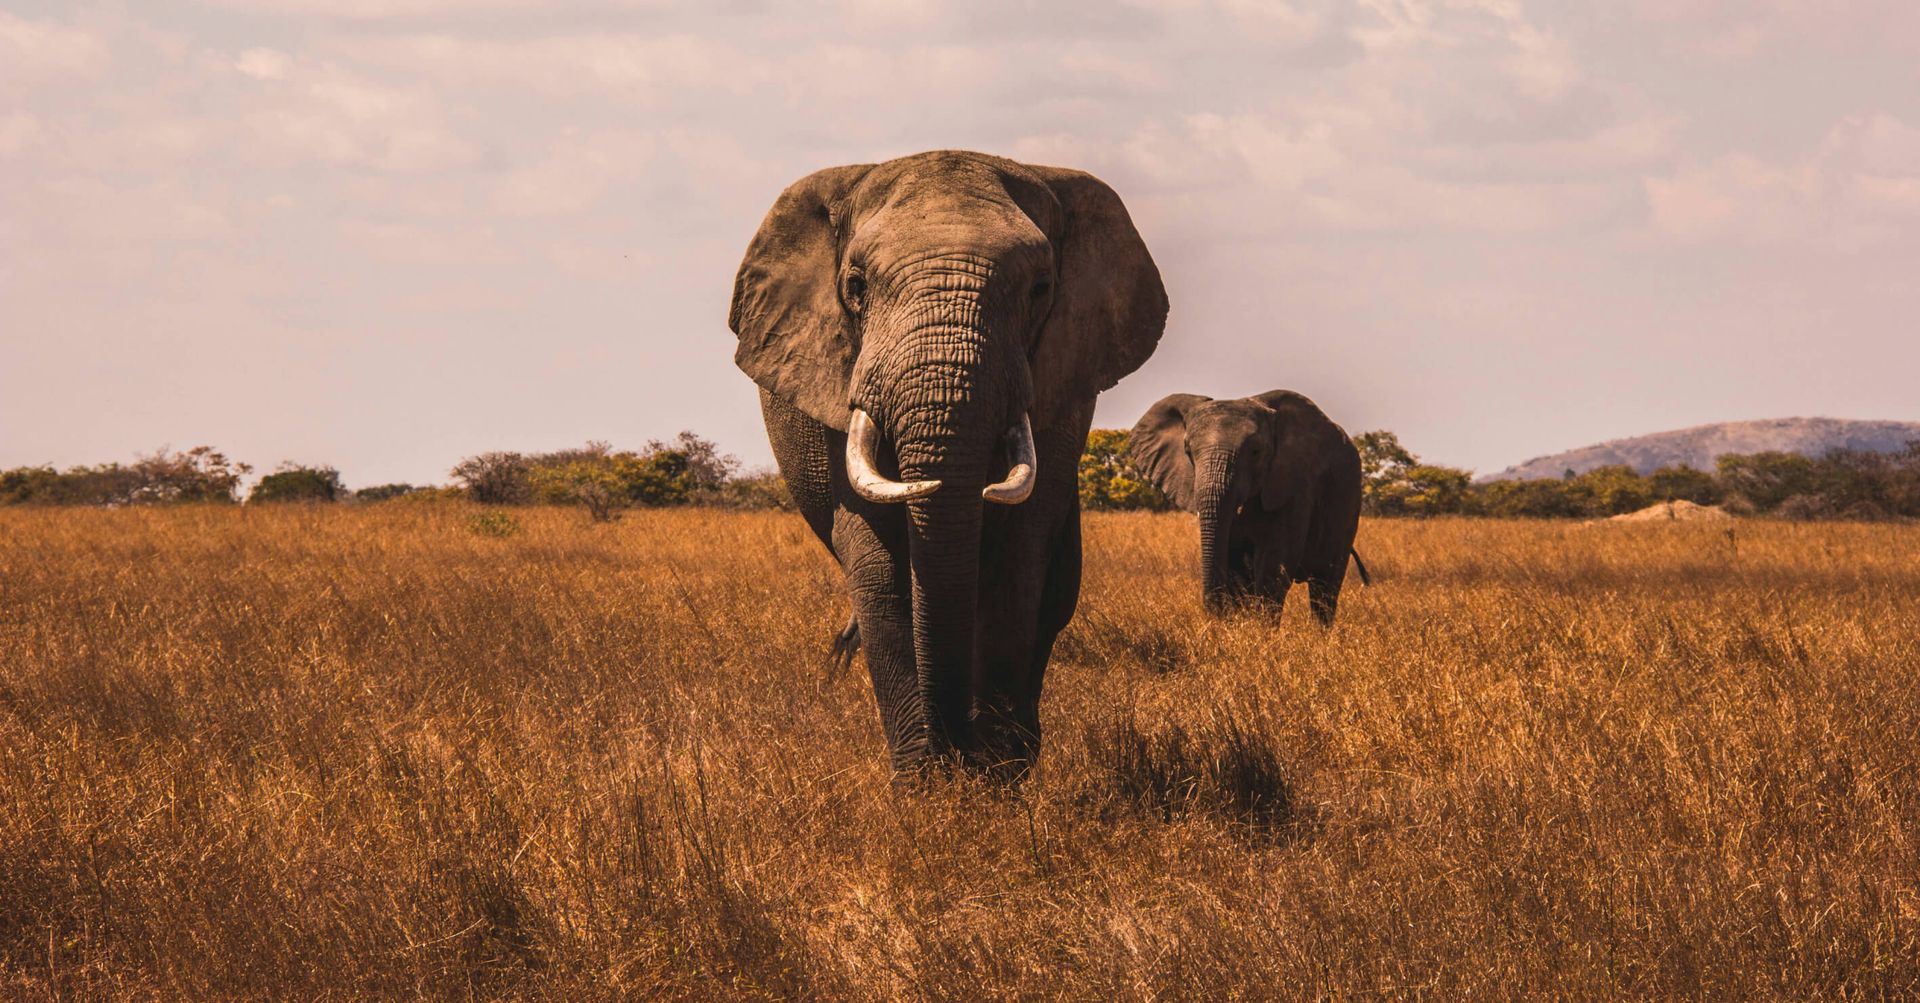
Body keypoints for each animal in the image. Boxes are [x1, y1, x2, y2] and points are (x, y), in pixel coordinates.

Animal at [727, 151, 1168, 777]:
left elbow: (1017, 562)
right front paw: (925, 783)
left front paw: (996, 777)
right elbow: (880, 570)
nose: (956, 751)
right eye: (855, 286)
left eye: (1041, 288)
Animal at [1128, 390, 1369, 622]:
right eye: (1188, 452)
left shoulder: (1295, 485)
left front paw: (1262, 631)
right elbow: (1236, 566)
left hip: (1348, 500)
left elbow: (1274, 565)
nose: (1214, 615)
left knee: (1325, 586)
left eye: (1256, 452)